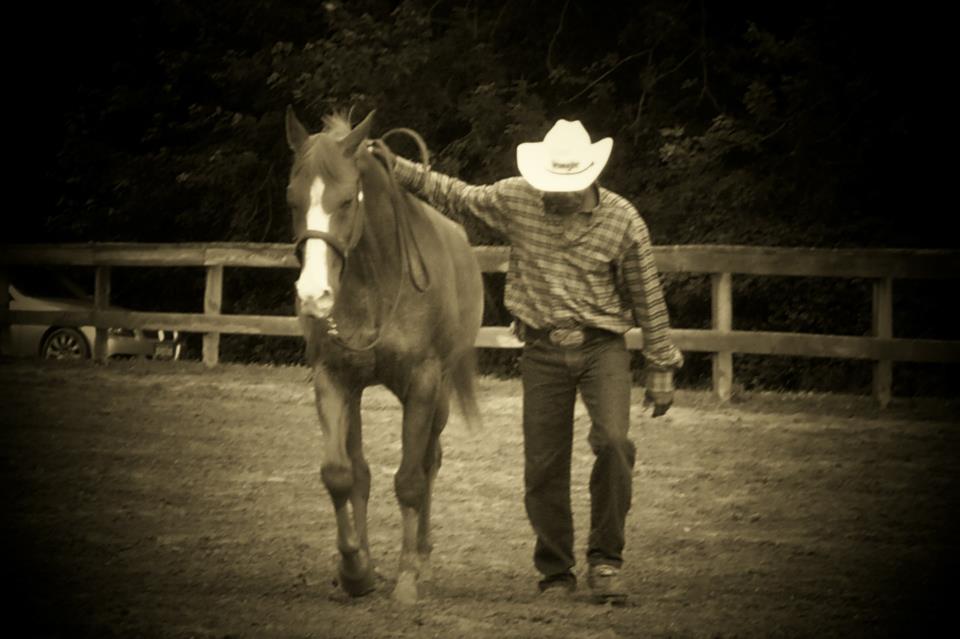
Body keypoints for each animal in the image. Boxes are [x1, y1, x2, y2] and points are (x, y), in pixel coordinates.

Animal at [284, 106, 484, 604]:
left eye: (346, 201)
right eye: (292, 200)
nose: (313, 296)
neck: (377, 281)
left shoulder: (423, 383)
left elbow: (410, 480)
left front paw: (407, 575)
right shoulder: (334, 379)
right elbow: (343, 474)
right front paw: (356, 569)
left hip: (441, 396)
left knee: (430, 463)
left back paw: (423, 558)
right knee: (363, 471)